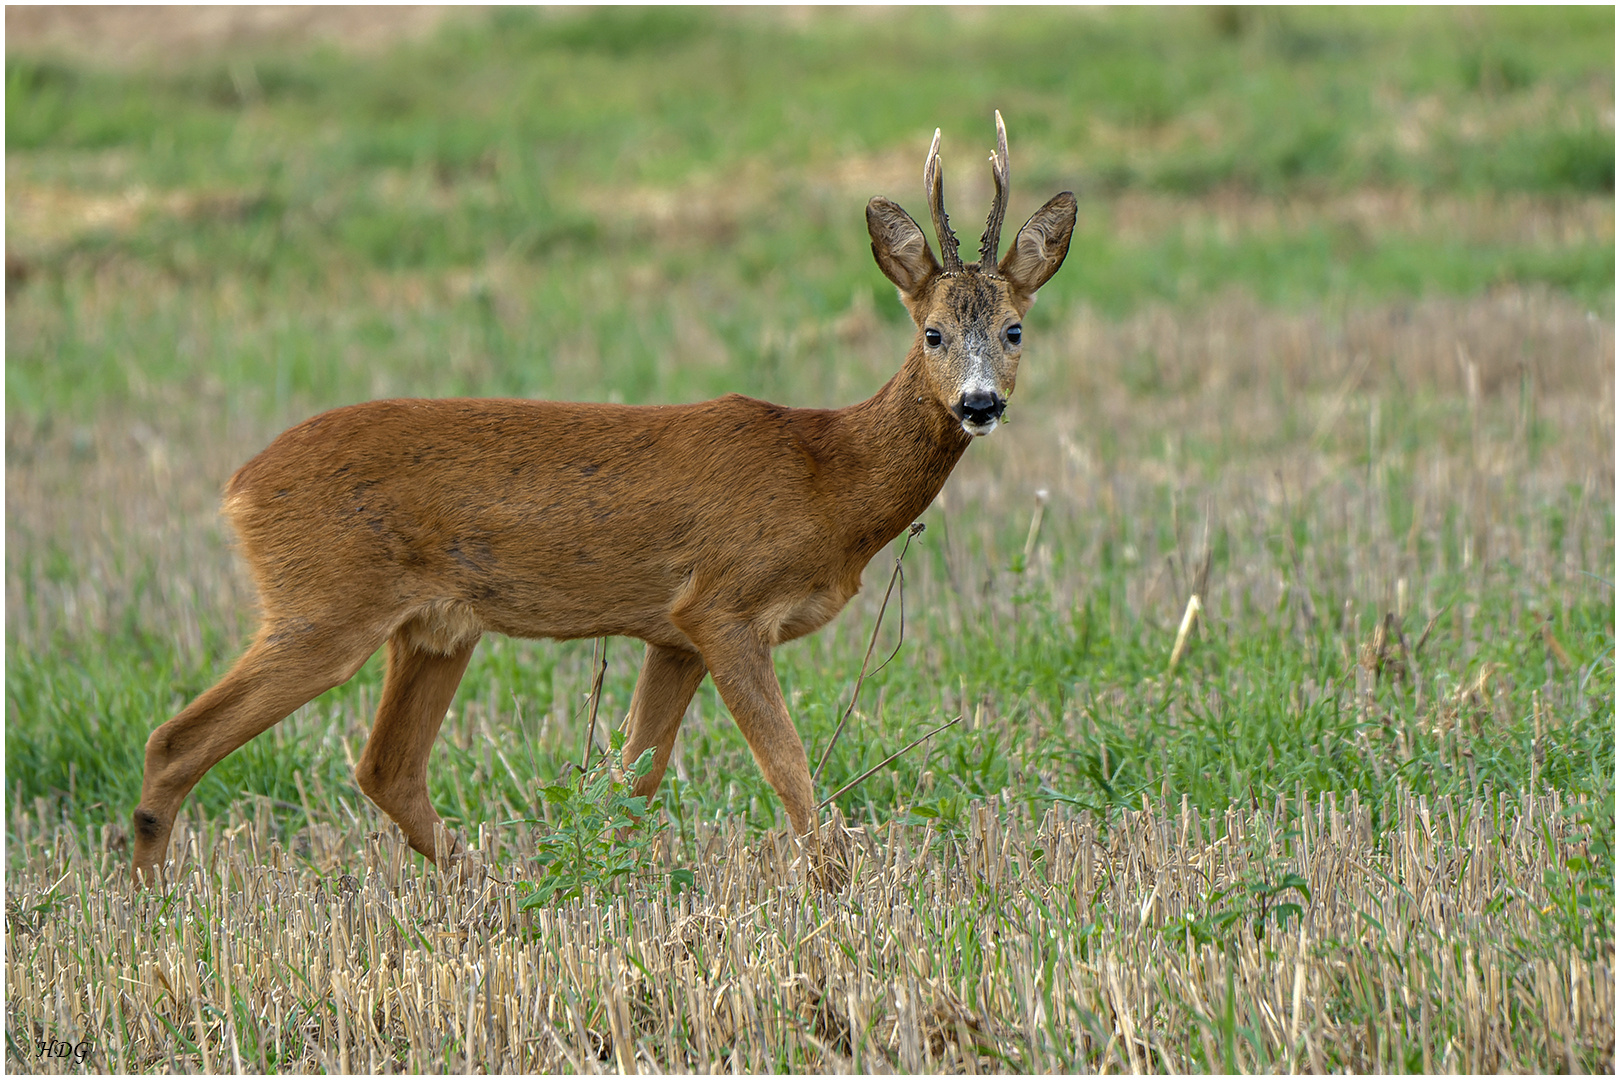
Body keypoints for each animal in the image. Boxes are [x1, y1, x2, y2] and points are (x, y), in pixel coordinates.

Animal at [132, 114, 1075, 880]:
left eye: (1015, 329)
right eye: (934, 332)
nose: (979, 404)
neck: (828, 477)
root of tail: (239, 488)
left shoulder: (672, 633)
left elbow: (633, 784)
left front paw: (596, 886)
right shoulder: (724, 604)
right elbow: (791, 775)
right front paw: (838, 893)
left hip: (436, 628)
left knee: (385, 766)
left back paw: (483, 890)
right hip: (324, 602)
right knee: (178, 740)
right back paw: (152, 902)